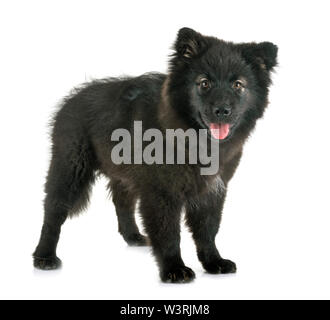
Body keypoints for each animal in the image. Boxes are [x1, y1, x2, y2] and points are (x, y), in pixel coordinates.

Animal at [33, 28, 278, 282]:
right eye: (204, 83)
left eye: (238, 85)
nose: (222, 111)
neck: (192, 139)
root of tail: (71, 99)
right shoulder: (162, 192)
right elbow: (169, 233)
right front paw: (174, 269)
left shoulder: (212, 190)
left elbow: (208, 231)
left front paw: (213, 262)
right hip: (70, 170)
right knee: (53, 210)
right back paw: (44, 257)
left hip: (124, 173)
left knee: (122, 201)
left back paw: (133, 236)